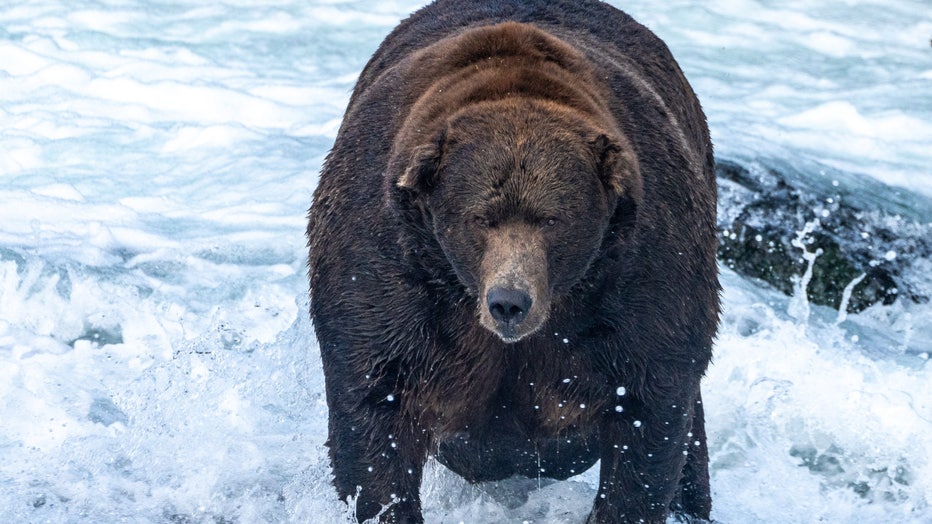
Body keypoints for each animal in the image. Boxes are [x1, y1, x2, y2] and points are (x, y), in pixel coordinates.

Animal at [306, 1, 719, 522]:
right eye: (480, 217)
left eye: (552, 219)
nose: (509, 301)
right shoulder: (388, 262)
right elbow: (375, 404)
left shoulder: (643, 267)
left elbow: (649, 412)